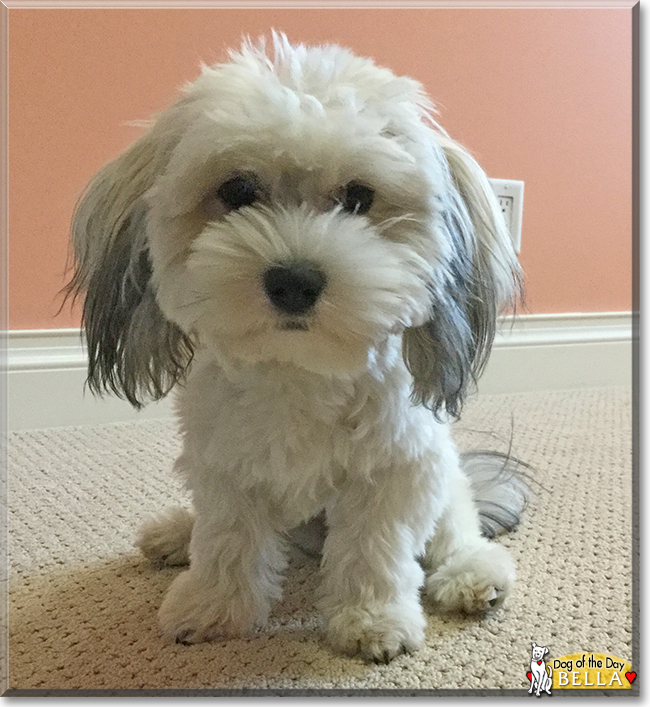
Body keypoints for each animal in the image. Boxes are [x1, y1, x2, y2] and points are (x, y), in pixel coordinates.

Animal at [68, 33, 528, 664]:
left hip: (441, 475)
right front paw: (213, 604)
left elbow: (374, 551)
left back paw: (472, 575)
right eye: (237, 190)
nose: (294, 281)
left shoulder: (392, 468)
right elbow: (228, 537)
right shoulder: (224, 464)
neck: (298, 370)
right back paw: (176, 535)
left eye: (358, 197)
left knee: (455, 529)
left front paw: (372, 620)